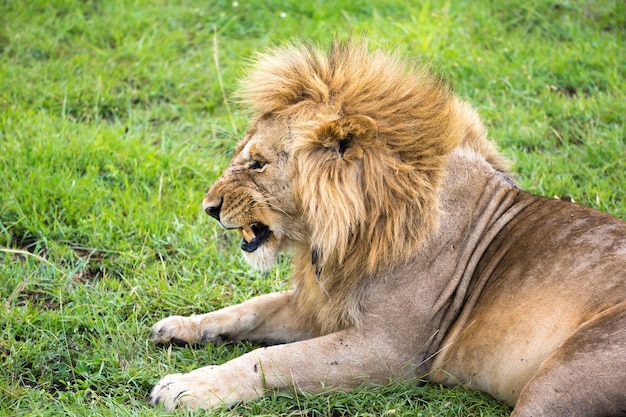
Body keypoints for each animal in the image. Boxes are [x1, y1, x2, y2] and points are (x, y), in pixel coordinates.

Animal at [147, 38, 624, 412]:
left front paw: (189, 386)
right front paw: (181, 327)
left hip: (557, 381)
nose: (209, 208)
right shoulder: (323, 306)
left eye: (258, 164)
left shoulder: (390, 350)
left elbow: (271, 359)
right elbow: (251, 308)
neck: (340, 237)